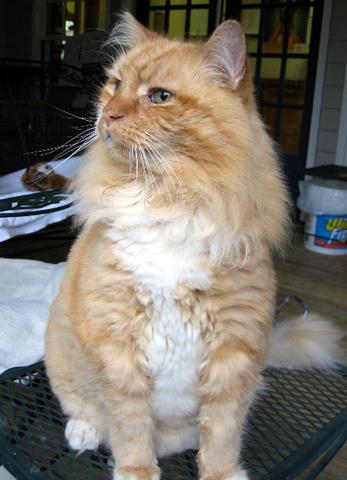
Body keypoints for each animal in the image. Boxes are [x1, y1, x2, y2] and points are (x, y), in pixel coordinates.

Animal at [45, 13, 342, 478]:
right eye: (115, 84)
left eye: (159, 97)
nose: (107, 114)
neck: (171, 199)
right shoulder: (119, 349)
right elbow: (130, 431)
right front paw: (137, 471)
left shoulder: (233, 349)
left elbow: (222, 435)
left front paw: (221, 473)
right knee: (81, 407)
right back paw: (85, 432)